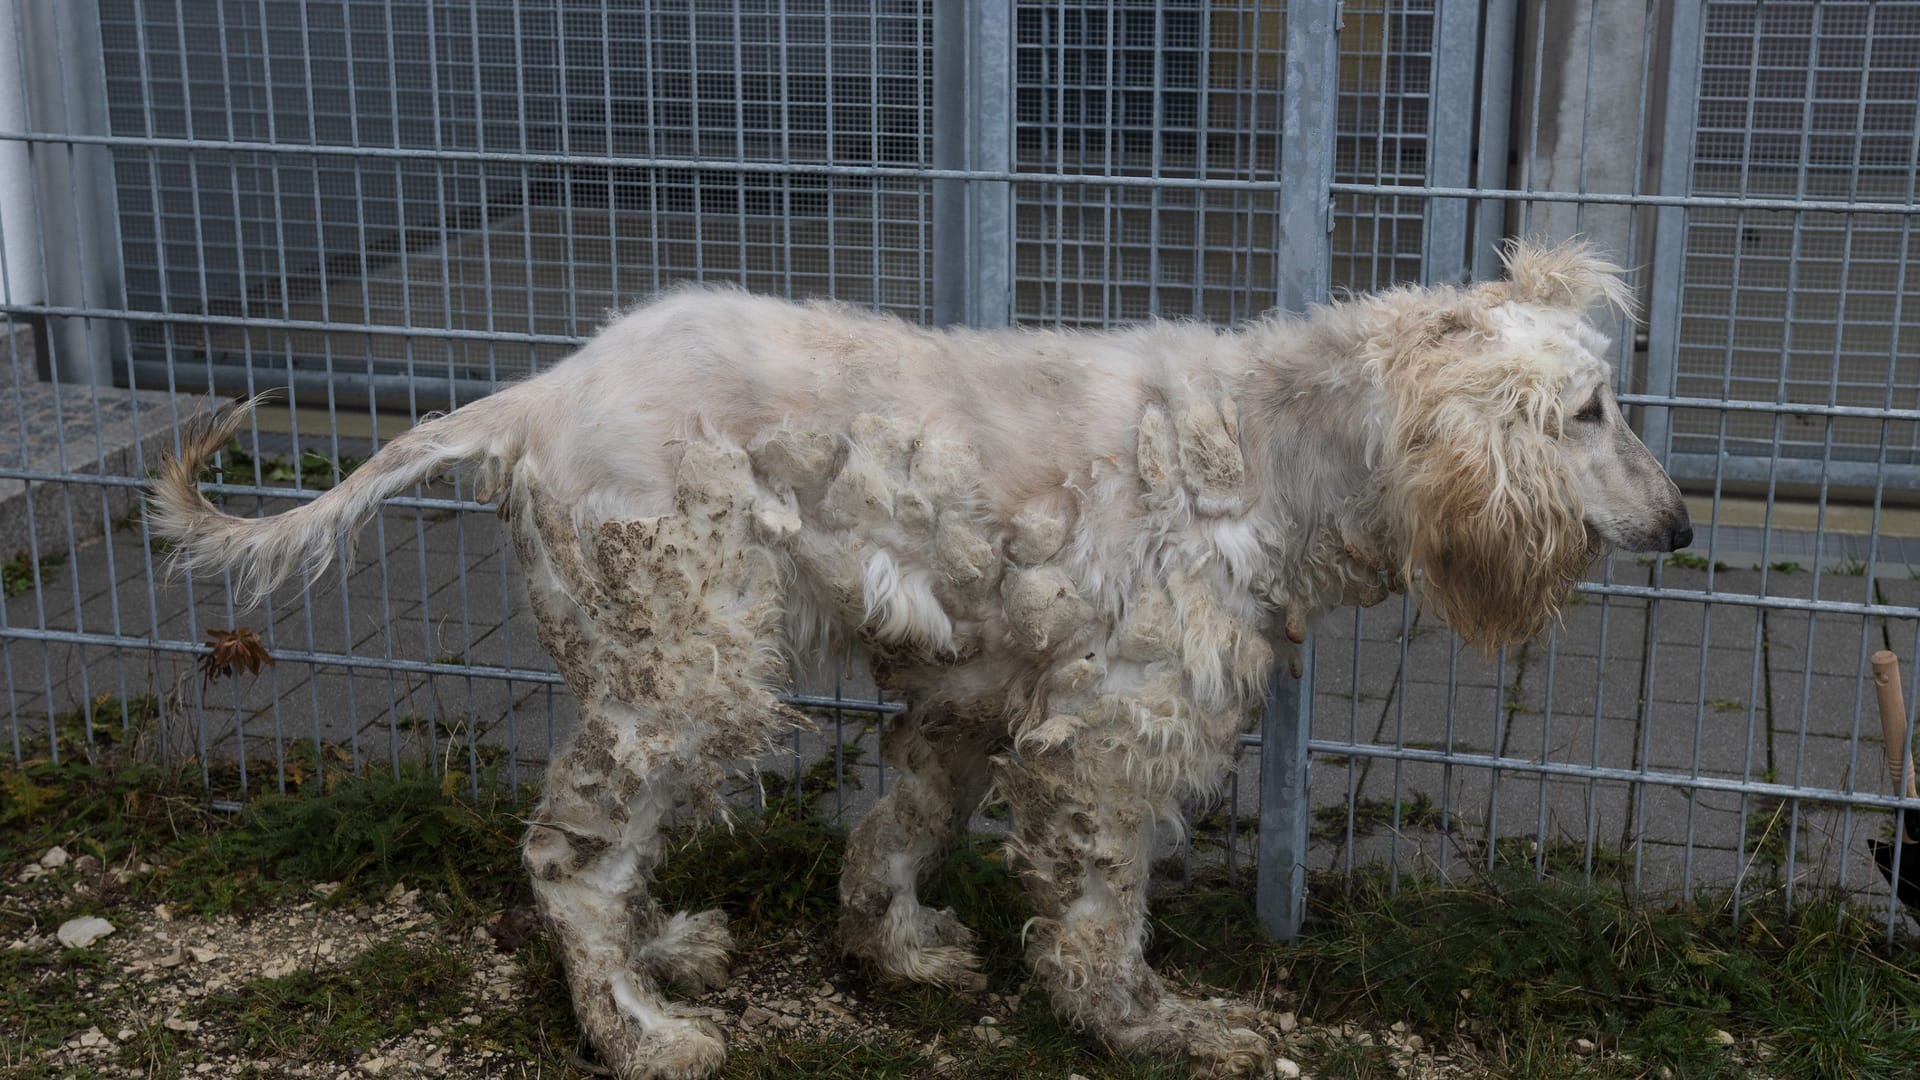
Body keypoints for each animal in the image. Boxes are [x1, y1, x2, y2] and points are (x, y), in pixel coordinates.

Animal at [153, 244, 1697, 1076]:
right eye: (1589, 410)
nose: (1684, 524)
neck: (1276, 449)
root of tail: (536, 396)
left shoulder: (972, 696)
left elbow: (895, 833)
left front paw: (890, 950)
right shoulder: (1113, 727)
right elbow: (1098, 917)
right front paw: (1149, 1027)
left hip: (643, 665)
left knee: (599, 853)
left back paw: (659, 949)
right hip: (687, 669)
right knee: (565, 859)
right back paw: (635, 1024)